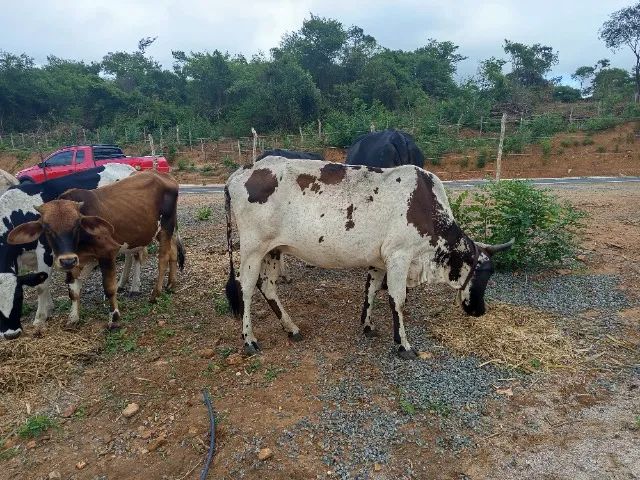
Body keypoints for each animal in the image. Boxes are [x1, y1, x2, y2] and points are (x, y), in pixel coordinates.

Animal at [0, 164, 136, 340]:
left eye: (19, 297)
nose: (11, 334)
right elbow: (40, 279)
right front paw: (49, 307)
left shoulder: (46, 251)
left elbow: (41, 286)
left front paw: (40, 318)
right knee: (129, 253)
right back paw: (122, 282)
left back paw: (134, 287)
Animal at [8, 170, 185, 331]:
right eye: (47, 229)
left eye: (77, 225)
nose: (67, 260)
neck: (81, 242)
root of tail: (165, 176)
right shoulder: (77, 260)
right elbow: (73, 290)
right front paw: (73, 318)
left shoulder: (107, 253)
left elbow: (109, 287)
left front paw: (114, 318)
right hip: (159, 231)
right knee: (173, 252)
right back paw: (171, 283)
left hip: (166, 226)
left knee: (163, 258)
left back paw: (156, 293)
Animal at [224, 157, 513, 359]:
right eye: (482, 274)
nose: (480, 310)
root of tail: (240, 173)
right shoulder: (399, 256)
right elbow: (397, 299)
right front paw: (403, 344)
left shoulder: (379, 260)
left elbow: (371, 290)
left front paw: (367, 325)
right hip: (252, 248)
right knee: (246, 288)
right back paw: (249, 340)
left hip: (272, 250)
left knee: (267, 286)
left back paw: (291, 328)